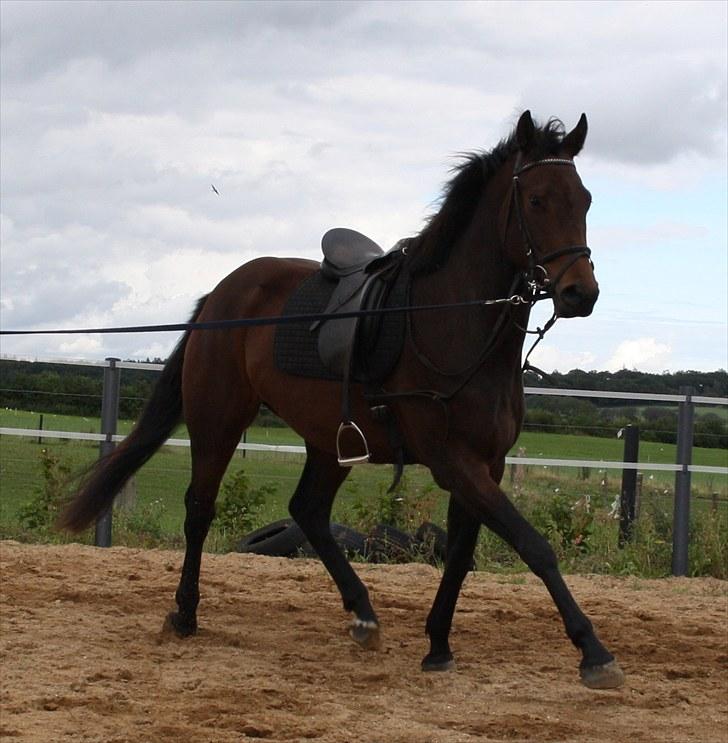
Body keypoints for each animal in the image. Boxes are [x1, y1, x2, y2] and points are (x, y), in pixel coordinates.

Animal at [58, 112, 624, 692]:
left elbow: (461, 555)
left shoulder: (486, 463)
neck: (451, 322)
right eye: (535, 200)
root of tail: (221, 294)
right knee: (200, 509)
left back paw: (363, 614)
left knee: (307, 511)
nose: (581, 293)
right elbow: (533, 545)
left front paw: (438, 644)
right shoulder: (453, 461)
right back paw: (186, 614)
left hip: (329, 443)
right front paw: (592, 651)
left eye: (584, 199)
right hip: (219, 421)